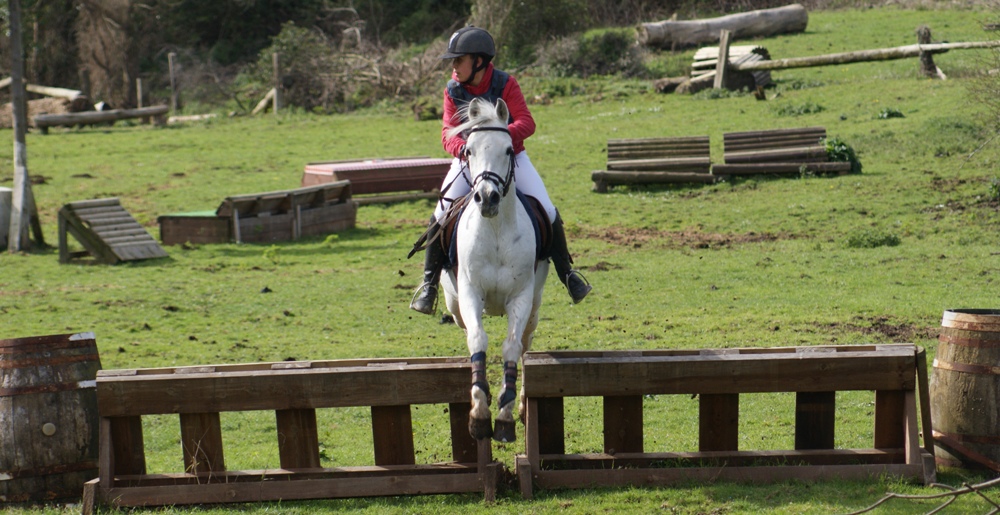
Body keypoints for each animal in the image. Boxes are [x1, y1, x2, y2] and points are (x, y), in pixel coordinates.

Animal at [440, 97, 548, 444]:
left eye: (509, 150)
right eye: (468, 150)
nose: (487, 198)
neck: (496, 229)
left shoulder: (522, 297)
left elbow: (513, 347)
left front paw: (504, 416)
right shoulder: (470, 293)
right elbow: (478, 339)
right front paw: (479, 412)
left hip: (535, 305)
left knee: (527, 344)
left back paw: (524, 404)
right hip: (453, 303)